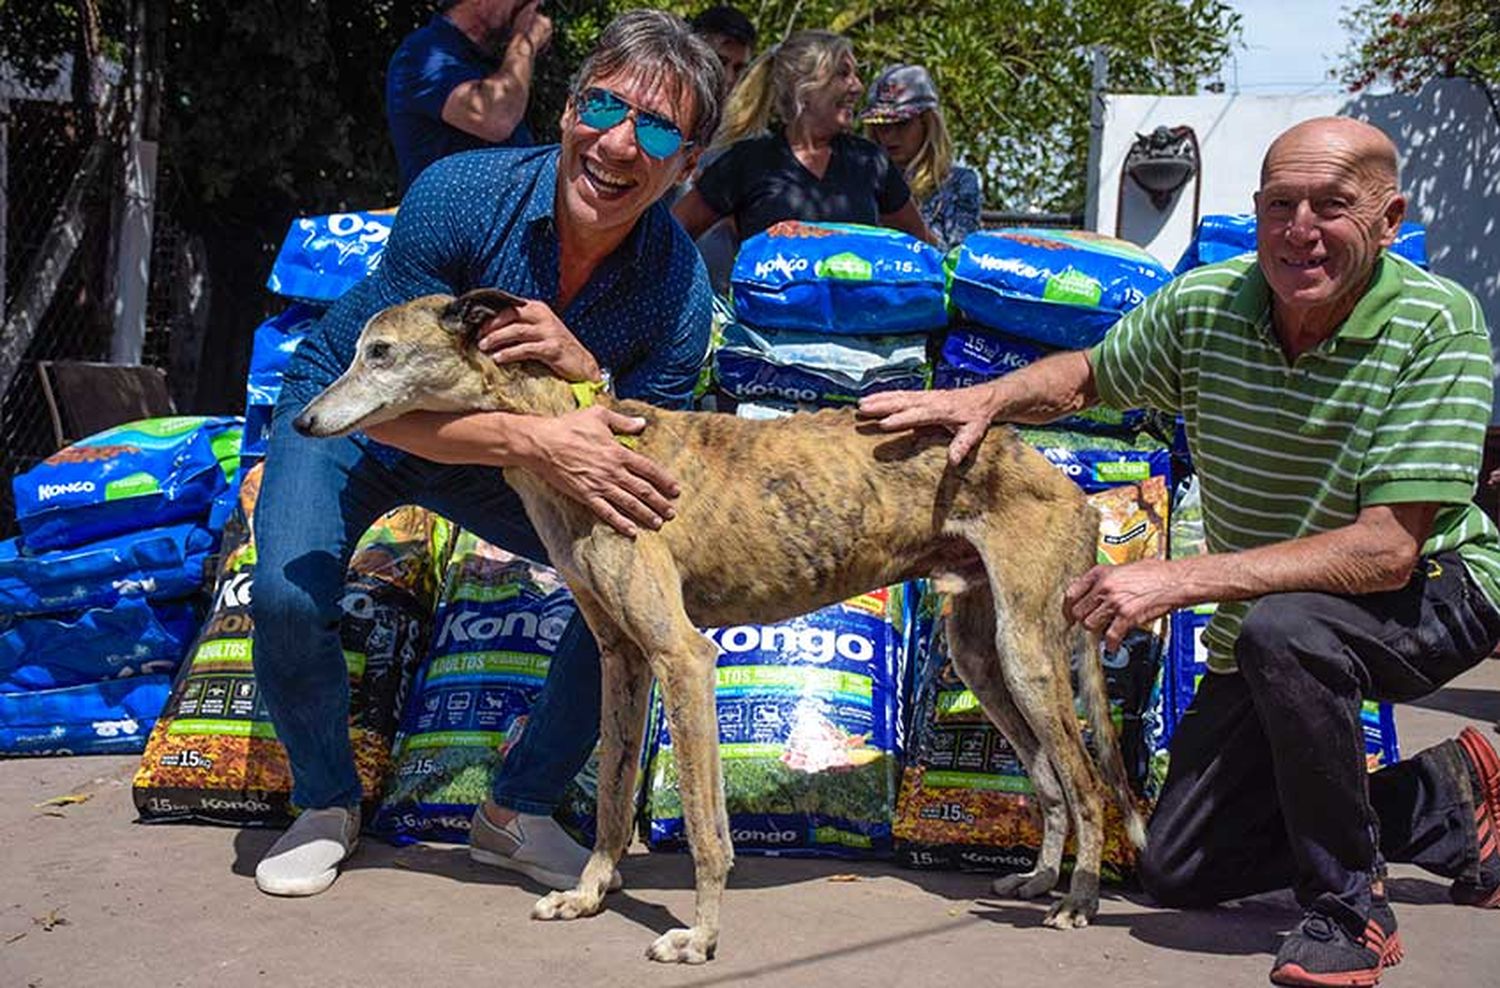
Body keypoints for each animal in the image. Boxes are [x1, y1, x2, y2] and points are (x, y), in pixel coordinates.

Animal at [295, 287, 1146, 965]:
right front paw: (588, 895)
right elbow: (612, 800)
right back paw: (1040, 880)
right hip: (982, 655)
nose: (302, 420)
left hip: (1029, 653)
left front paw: (700, 938)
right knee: (1050, 781)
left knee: (1086, 782)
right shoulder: (620, 657)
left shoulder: (684, 658)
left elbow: (708, 829)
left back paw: (1079, 901)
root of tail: (1073, 490)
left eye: (380, 353)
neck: (580, 443)